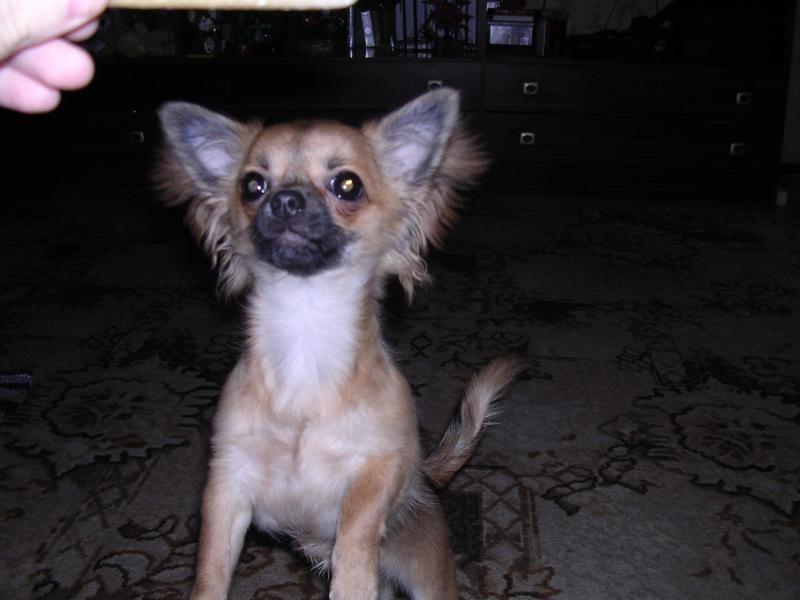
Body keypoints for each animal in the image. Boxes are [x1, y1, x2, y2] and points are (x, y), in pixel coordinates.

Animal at [155, 87, 524, 600]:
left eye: (347, 185)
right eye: (252, 186)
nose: (286, 201)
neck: (306, 338)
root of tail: (428, 481)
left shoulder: (382, 464)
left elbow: (356, 521)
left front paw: (349, 578)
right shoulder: (227, 482)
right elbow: (210, 565)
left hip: (430, 578)